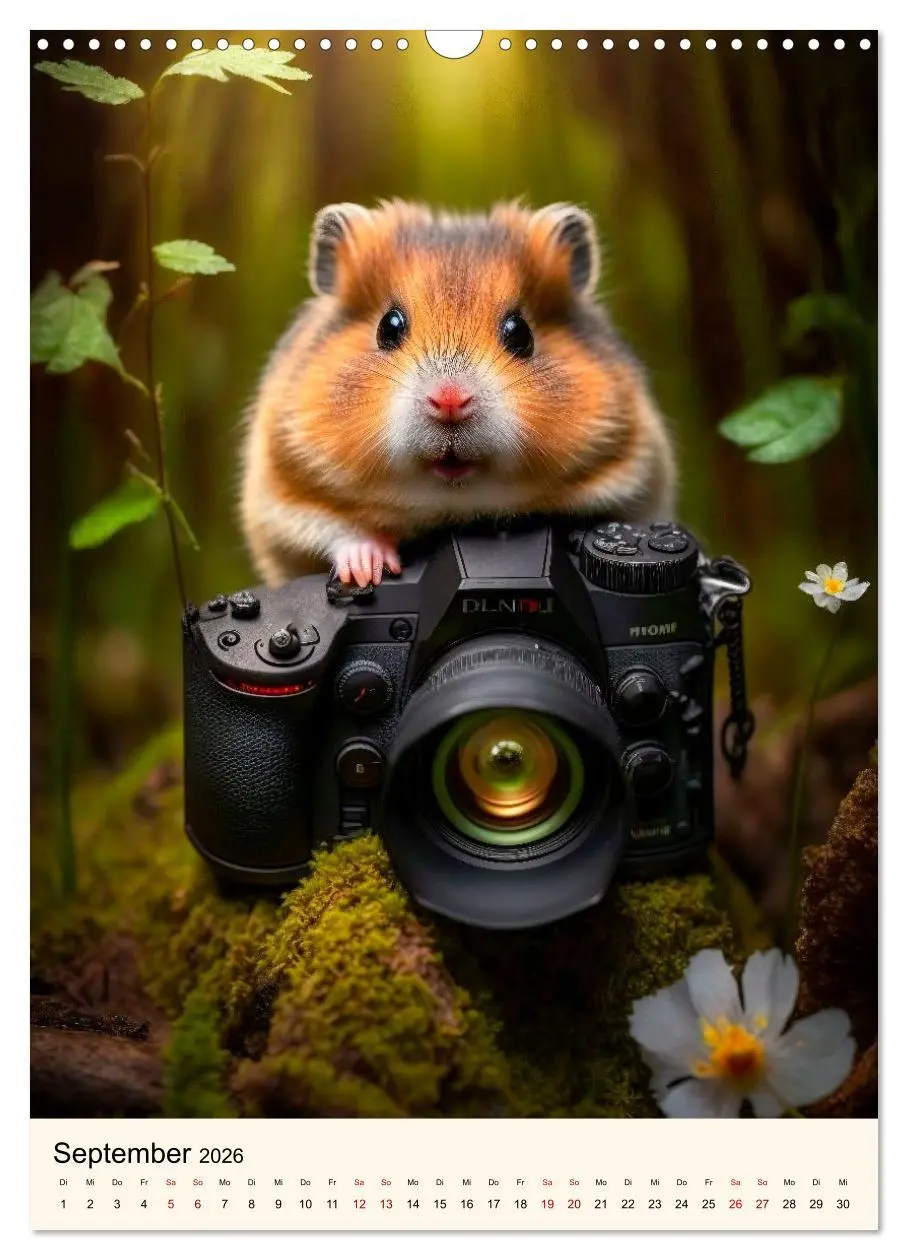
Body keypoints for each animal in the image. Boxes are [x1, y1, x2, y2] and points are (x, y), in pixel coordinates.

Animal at [241, 199, 676, 587]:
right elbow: (340, 531)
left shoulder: (634, 470)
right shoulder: (282, 494)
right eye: (389, 326)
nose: (450, 400)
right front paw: (370, 570)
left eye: (520, 332)